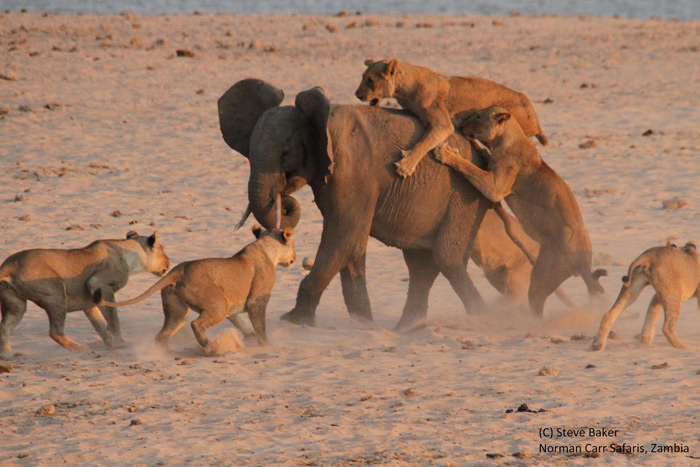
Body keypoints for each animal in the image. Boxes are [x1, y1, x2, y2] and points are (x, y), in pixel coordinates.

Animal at [0, 232, 170, 353]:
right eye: (163, 250)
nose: (169, 262)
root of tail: (8, 265)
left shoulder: (89, 302)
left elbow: (100, 324)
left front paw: (111, 344)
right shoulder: (100, 285)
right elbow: (113, 319)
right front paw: (120, 343)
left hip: (16, 304)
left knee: (4, 328)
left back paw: (7, 354)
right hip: (56, 294)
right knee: (55, 332)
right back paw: (82, 349)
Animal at [93, 225, 296, 350]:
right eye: (293, 244)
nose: (294, 257)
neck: (266, 249)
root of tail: (180, 268)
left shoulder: (232, 309)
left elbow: (246, 326)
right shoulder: (256, 301)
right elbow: (260, 328)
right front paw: (267, 346)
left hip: (178, 312)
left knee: (162, 335)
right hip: (217, 305)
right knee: (196, 324)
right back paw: (210, 346)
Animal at [217, 79, 555, 329]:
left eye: (286, 153)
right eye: (248, 152)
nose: (283, 201)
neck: (321, 120)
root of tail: (482, 152)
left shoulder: (352, 174)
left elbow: (343, 238)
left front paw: (294, 322)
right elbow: (352, 248)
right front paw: (362, 324)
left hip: (468, 196)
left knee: (446, 258)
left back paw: (483, 318)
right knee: (421, 266)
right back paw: (406, 328)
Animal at [354, 58, 547, 178]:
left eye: (370, 80)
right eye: (362, 77)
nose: (357, 95)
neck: (404, 90)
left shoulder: (443, 124)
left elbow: (423, 143)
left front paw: (405, 166)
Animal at [434, 106, 605, 315]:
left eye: (477, 117)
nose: (462, 126)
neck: (507, 138)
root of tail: (584, 260)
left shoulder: (495, 188)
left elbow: (470, 168)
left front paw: (446, 153)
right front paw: (482, 152)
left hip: (544, 274)